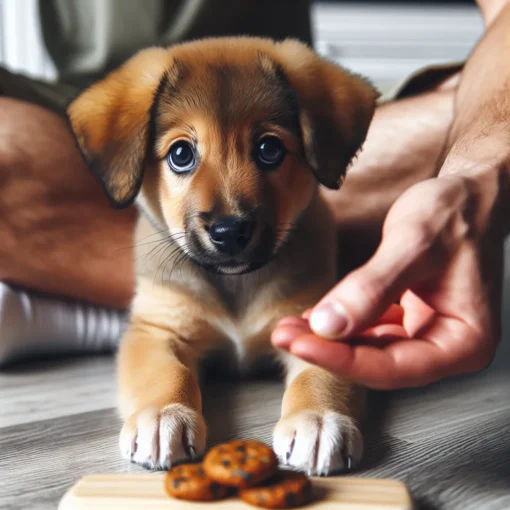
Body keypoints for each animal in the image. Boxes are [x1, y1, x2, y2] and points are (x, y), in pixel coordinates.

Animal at [67, 37, 376, 476]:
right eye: (181, 154)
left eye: (269, 149)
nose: (230, 233)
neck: (236, 284)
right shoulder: (156, 329)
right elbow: (164, 372)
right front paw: (163, 414)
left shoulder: (314, 325)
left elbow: (319, 376)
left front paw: (318, 419)